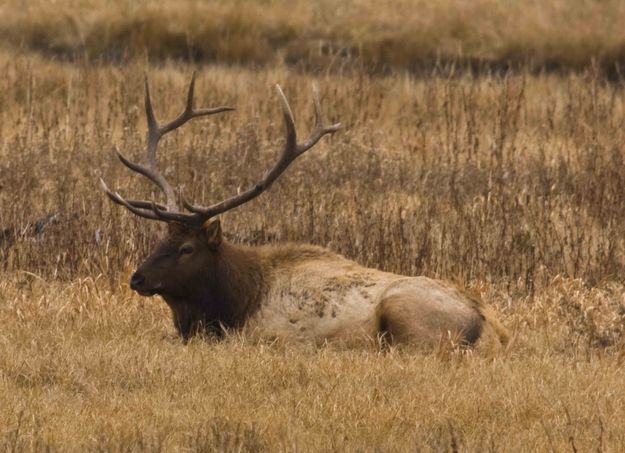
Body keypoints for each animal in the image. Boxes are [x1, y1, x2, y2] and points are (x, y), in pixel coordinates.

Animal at [98, 76, 508, 348]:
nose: (137, 277)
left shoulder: (265, 334)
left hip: (406, 313)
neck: (233, 301)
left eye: (187, 249)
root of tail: (493, 327)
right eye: (160, 239)